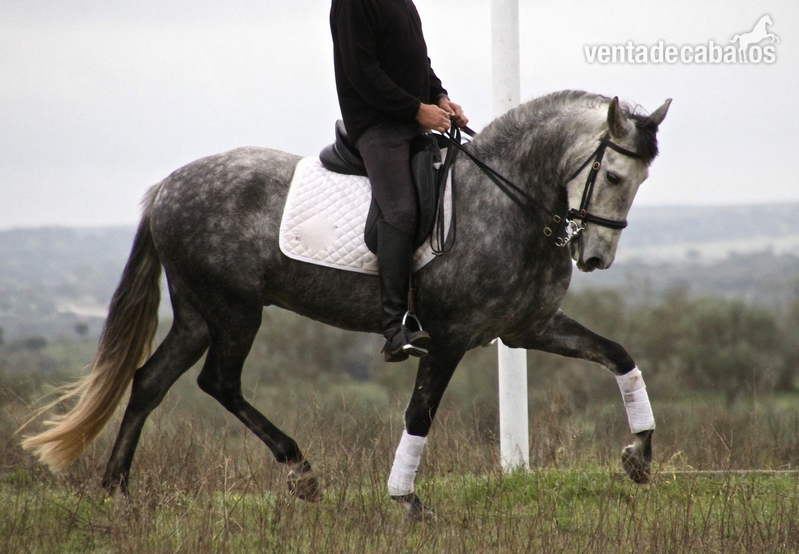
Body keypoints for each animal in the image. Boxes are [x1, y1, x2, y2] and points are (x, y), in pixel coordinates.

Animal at [22, 90, 671, 520]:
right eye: (614, 175)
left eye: (640, 182)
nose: (595, 257)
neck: (507, 200)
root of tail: (166, 188)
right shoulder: (450, 337)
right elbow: (419, 414)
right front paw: (407, 500)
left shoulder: (527, 327)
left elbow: (618, 356)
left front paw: (638, 456)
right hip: (235, 311)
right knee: (218, 383)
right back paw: (300, 472)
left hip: (199, 315)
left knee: (150, 382)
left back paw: (117, 492)